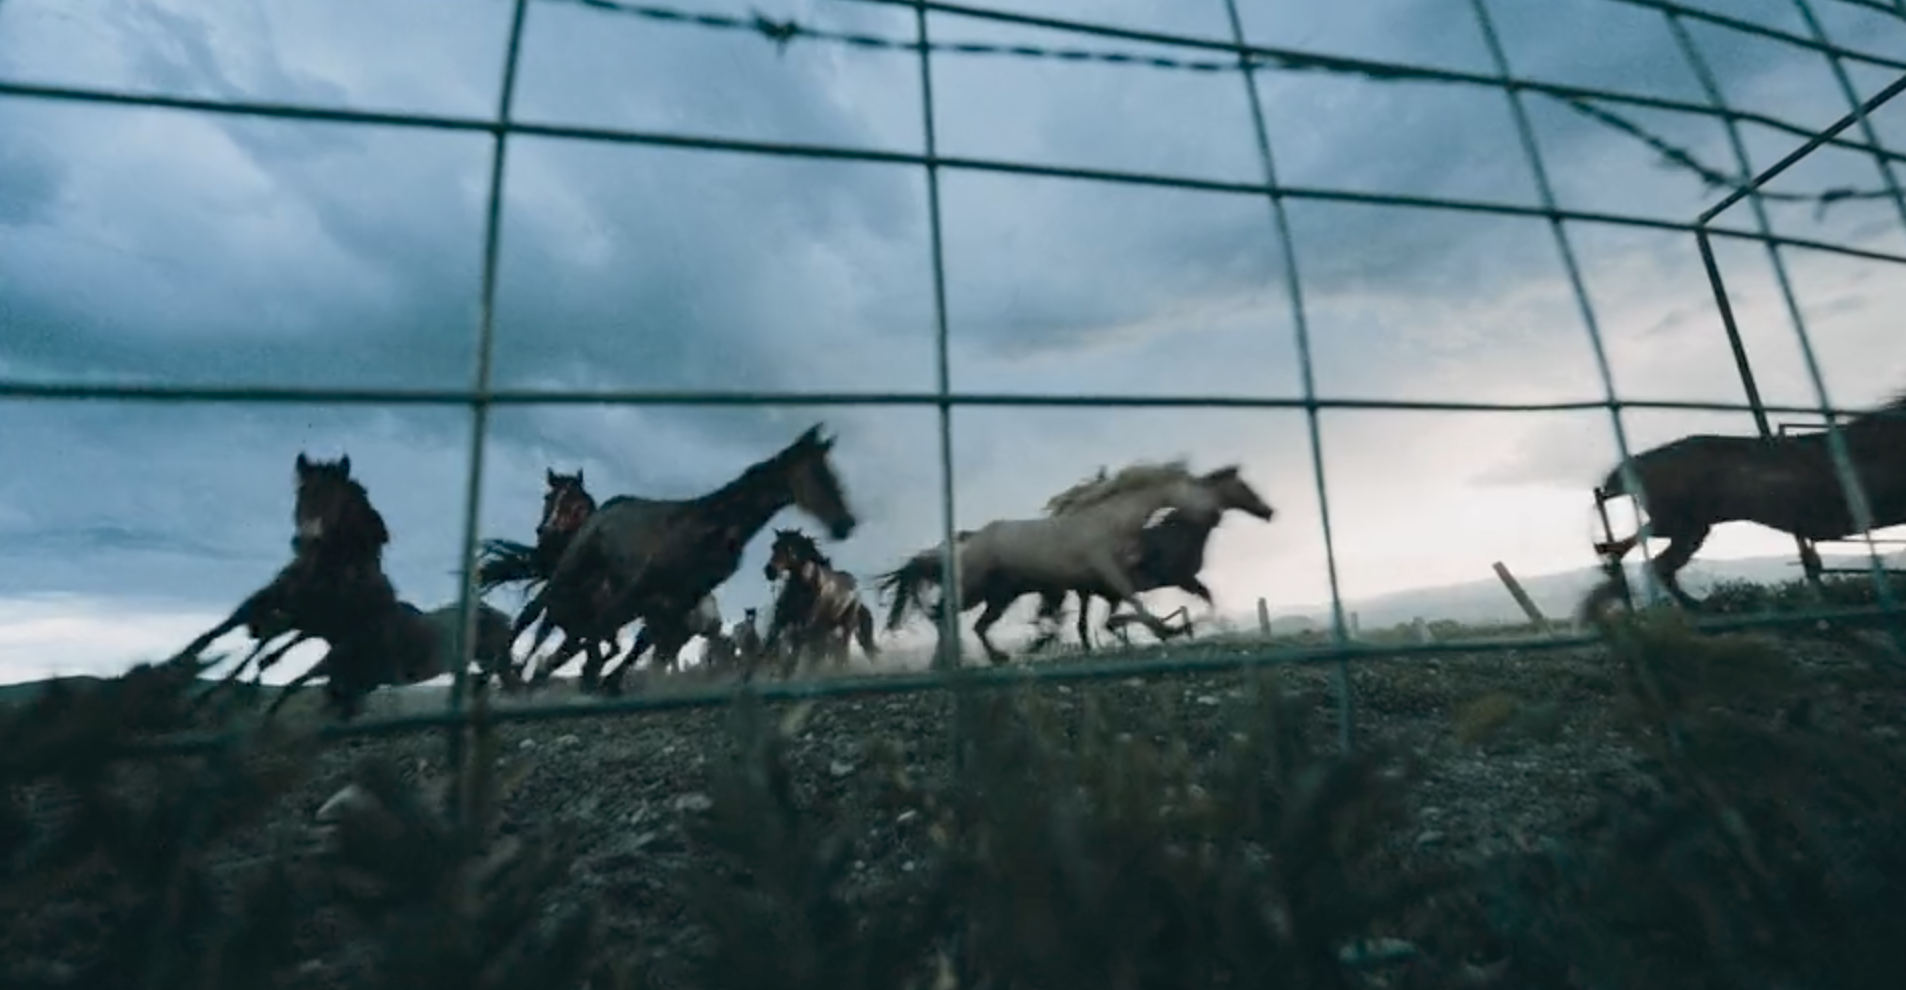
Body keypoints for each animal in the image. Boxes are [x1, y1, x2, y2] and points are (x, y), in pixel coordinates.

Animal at [514, 425, 857, 698]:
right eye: (819, 474)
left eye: (832, 473)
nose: (845, 524)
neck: (713, 527)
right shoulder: (646, 584)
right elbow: (606, 630)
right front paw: (585, 676)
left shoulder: (677, 599)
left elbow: (643, 644)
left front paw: (605, 681)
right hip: (575, 567)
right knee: (534, 613)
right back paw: (514, 671)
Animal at [758, 530, 876, 679]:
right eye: (773, 546)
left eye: (789, 548)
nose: (770, 571)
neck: (803, 587)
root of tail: (856, 588)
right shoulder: (779, 620)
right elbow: (766, 649)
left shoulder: (804, 627)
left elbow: (792, 659)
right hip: (824, 629)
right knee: (819, 655)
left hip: (846, 627)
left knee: (841, 652)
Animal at [872, 463, 1265, 667]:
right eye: (1195, 490)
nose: (1208, 512)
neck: (1110, 521)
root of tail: (962, 544)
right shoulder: (1109, 575)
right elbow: (1133, 606)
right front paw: (1170, 630)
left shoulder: (1101, 584)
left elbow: (1109, 613)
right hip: (976, 590)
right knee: (944, 614)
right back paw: (956, 659)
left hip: (1000, 596)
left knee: (973, 623)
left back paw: (992, 656)